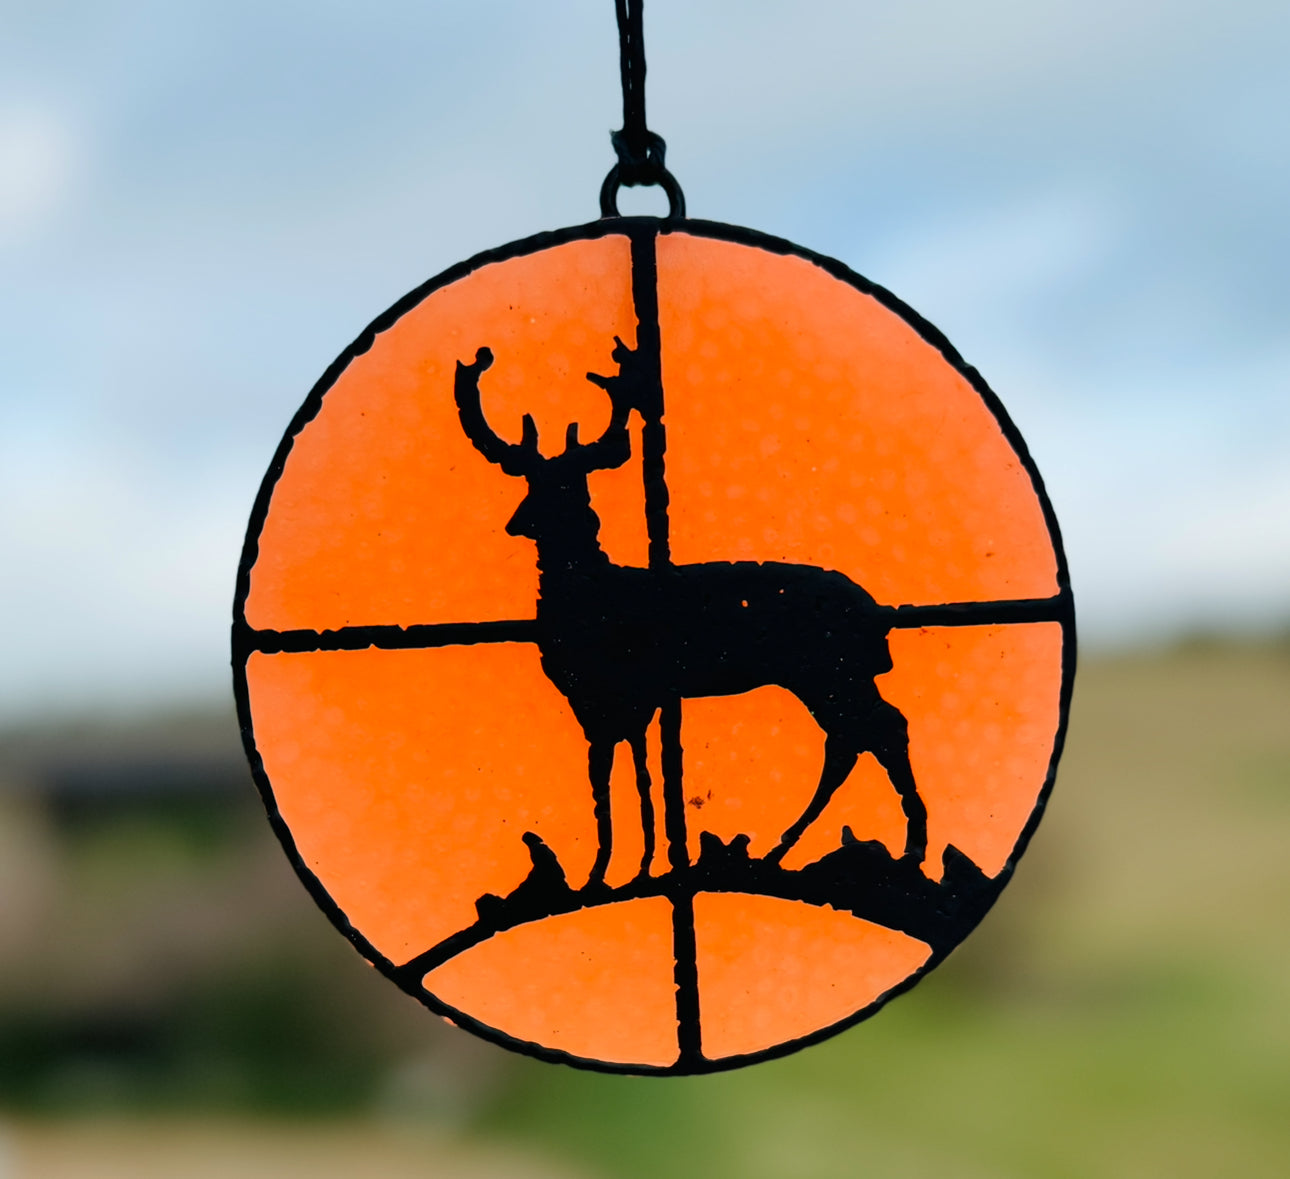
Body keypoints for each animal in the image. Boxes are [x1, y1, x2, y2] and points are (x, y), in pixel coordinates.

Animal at [454, 340, 928, 888]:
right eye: (535, 483)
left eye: (577, 487)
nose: (527, 521)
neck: (583, 595)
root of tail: (879, 613)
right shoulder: (611, 703)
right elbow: (622, 774)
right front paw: (627, 868)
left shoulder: (622, 694)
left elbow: (625, 775)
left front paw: (616, 870)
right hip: (831, 678)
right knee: (854, 739)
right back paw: (783, 850)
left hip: (832, 671)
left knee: (881, 729)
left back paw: (908, 848)